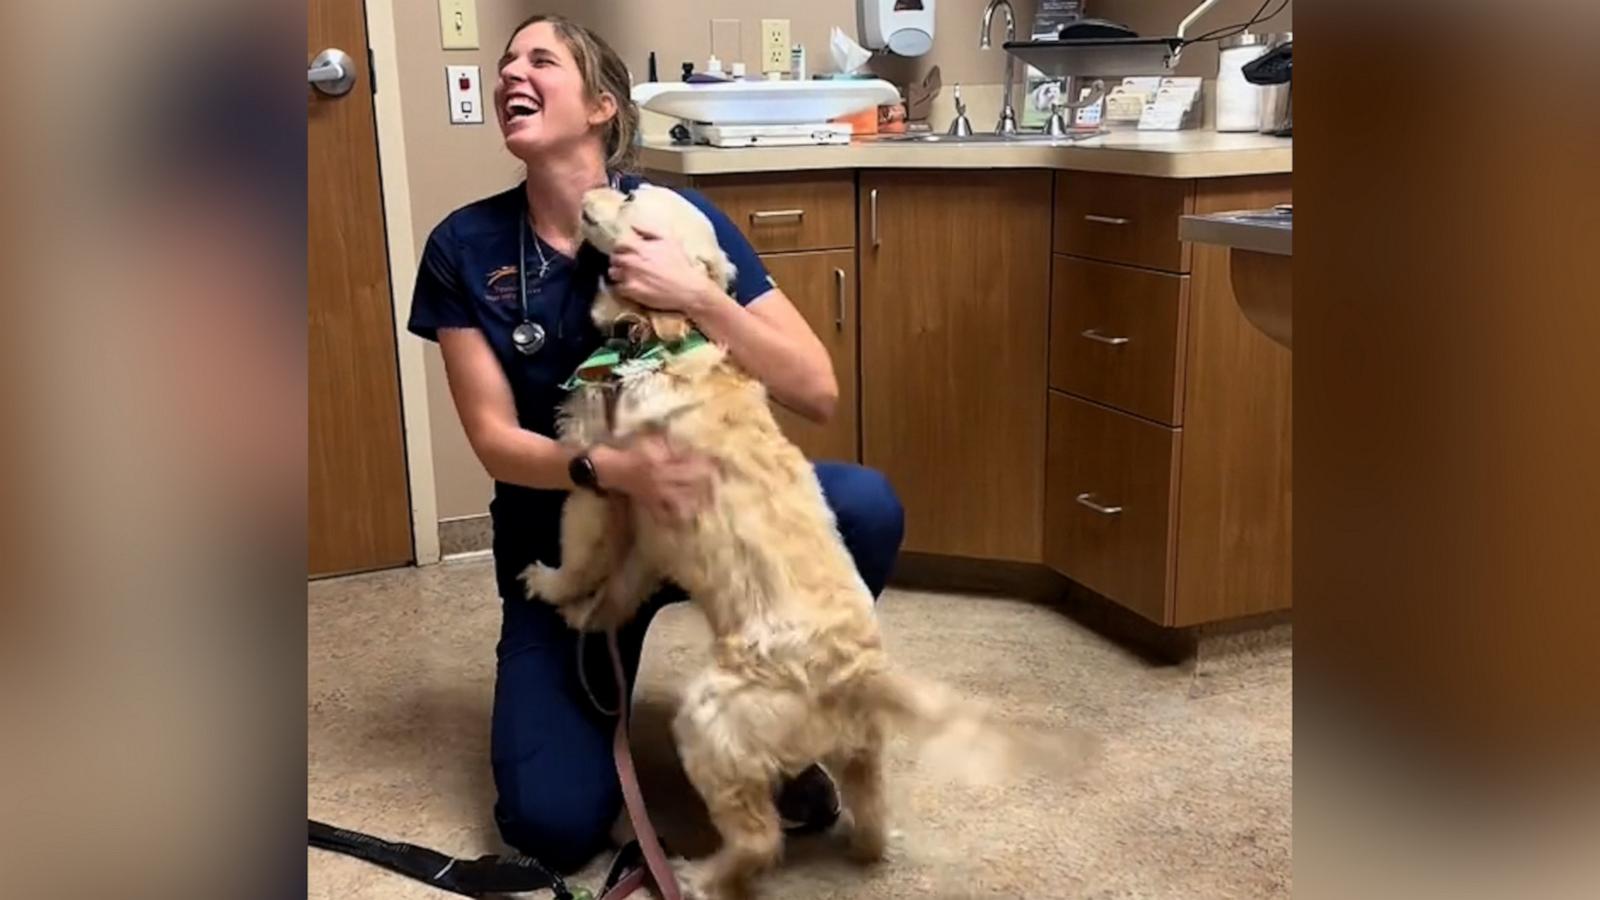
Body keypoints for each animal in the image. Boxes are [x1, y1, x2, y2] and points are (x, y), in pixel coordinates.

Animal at [524, 184, 1100, 896]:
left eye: (629, 196)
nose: (591, 191)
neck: (662, 339)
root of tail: (861, 673)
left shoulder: (598, 484)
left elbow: (581, 555)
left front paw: (550, 585)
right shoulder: (647, 531)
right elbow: (619, 586)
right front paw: (589, 616)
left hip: (710, 720)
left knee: (758, 839)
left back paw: (695, 873)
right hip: (860, 756)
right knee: (872, 822)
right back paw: (854, 842)